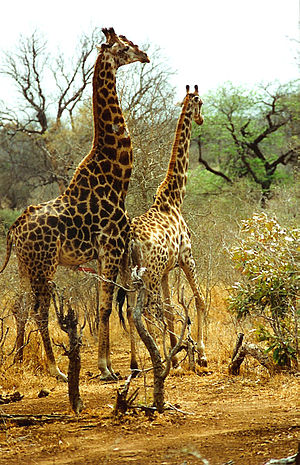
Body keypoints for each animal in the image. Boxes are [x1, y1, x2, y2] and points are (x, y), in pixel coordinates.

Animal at [0, 26, 149, 380]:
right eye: (124, 47)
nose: (145, 55)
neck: (117, 178)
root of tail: (15, 229)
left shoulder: (108, 254)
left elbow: (107, 305)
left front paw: (111, 366)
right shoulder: (111, 249)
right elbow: (105, 307)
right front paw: (106, 369)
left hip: (26, 266)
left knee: (21, 307)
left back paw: (32, 362)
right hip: (43, 265)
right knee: (39, 311)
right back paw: (57, 370)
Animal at [119, 85, 206, 372]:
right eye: (201, 102)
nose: (201, 119)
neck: (174, 199)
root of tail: (131, 240)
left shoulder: (168, 270)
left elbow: (169, 310)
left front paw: (178, 352)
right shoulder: (187, 257)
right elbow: (199, 300)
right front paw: (199, 355)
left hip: (127, 273)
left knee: (131, 310)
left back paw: (137, 362)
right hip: (150, 274)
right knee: (146, 310)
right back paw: (161, 360)